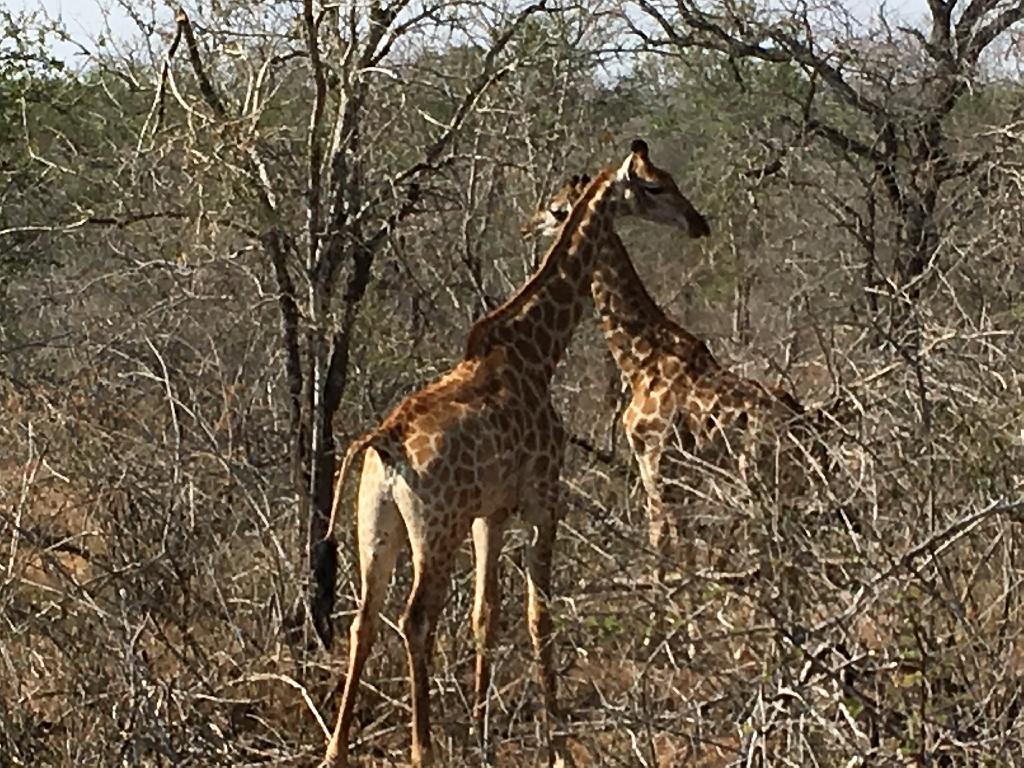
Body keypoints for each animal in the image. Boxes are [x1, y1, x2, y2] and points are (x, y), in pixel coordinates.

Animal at [311, 140, 712, 768]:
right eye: (654, 187)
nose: (698, 223)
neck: (535, 353)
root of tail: (384, 442)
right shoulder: (544, 498)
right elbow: (537, 614)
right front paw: (557, 743)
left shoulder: (491, 513)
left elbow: (486, 614)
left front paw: (483, 735)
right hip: (435, 528)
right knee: (415, 618)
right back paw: (423, 749)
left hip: (374, 522)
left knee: (364, 621)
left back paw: (336, 748)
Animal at [524, 174, 811, 569]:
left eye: (557, 209)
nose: (529, 226)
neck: (641, 360)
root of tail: (804, 425)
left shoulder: (657, 460)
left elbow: (662, 541)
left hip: (757, 478)